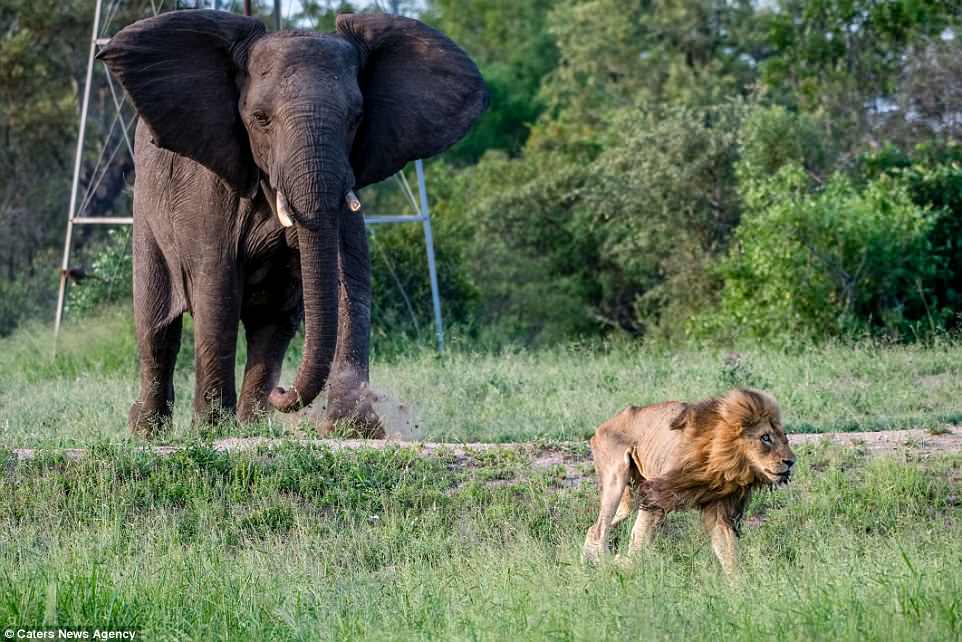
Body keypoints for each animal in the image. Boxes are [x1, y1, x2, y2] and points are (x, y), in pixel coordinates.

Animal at [95, 8, 488, 436]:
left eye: (356, 119)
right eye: (260, 119)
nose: (282, 393)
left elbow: (350, 280)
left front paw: (354, 428)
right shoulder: (209, 191)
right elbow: (217, 292)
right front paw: (211, 432)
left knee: (274, 322)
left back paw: (251, 426)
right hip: (145, 212)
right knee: (157, 328)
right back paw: (147, 431)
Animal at [576, 388, 796, 572]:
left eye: (784, 436)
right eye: (765, 438)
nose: (791, 462)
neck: (722, 463)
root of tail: (603, 425)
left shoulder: (720, 508)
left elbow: (729, 552)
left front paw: (739, 588)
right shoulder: (655, 494)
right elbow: (639, 538)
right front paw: (627, 566)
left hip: (627, 499)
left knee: (595, 528)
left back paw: (590, 562)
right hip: (616, 478)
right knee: (599, 530)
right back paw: (603, 564)